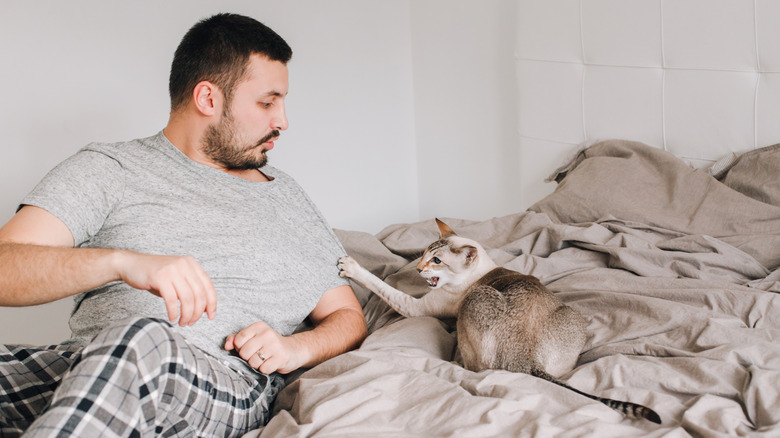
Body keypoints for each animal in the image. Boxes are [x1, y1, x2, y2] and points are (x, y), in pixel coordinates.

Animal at [338, 219, 660, 424]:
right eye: (426, 254)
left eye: (437, 261)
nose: (418, 269)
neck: (480, 271)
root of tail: (527, 360)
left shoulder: (417, 306)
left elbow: (383, 285)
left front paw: (351, 266)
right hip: (571, 314)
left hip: (474, 302)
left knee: (474, 366)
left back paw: (455, 360)